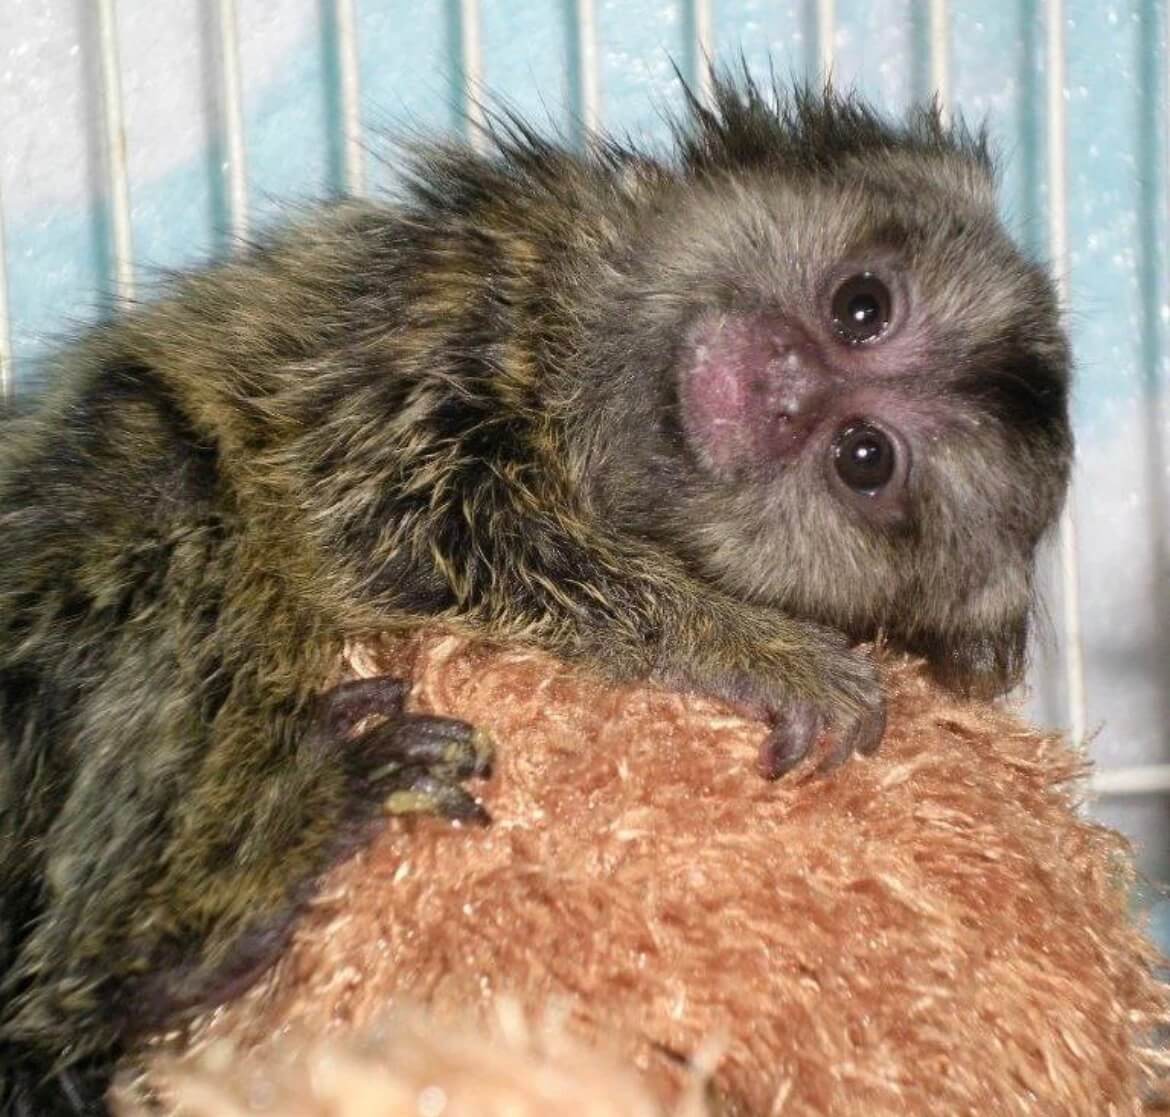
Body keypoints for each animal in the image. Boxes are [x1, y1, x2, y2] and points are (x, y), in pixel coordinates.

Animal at [0, 70, 1071, 1114]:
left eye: (863, 458)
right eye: (862, 306)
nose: (782, 381)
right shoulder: (461, 291)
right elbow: (395, 518)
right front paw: (757, 650)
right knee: (170, 472)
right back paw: (189, 936)